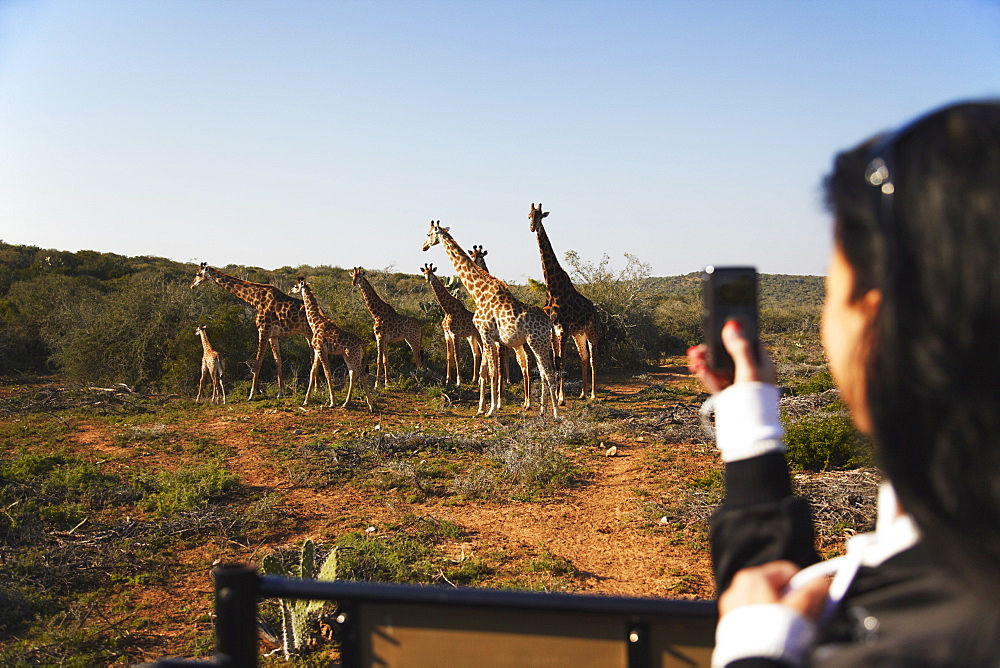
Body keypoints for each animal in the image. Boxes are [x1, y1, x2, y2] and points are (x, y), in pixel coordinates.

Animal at [189, 260, 310, 396]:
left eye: (198, 274)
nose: (192, 285)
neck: (255, 300)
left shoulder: (263, 330)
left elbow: (258, 361)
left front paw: (252, 394)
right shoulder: (273, 335)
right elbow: (277, 360)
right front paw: (280, 392)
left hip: (309, 331)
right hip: (305, 332)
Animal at [290, 276, 376, 412]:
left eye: (295, 286)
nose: (290, 290)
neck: (315, 323)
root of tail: (362, 343)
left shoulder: (321, 350)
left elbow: (327, 373)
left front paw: (332, 402)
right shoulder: (317, 350)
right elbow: (312, 372)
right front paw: (306, 401)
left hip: (353, 356)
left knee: (362, 374)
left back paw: (371, 405)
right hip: (348, 356)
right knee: (353, 374)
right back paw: (346, 403)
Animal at [424, 220, 564, 418]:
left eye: (428, 234)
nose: (423, 246)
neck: (479, 292)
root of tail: (549, 323)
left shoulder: (487, 334)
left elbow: (492, 372)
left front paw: (491, 410)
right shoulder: (486, 337)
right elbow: (484, 371)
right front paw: (481, 408)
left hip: (537, 342)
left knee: (549, 372)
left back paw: (556, 414)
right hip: (537, 343)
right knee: (543, 372)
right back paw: (543, 411)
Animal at [532, 204, 600, 402]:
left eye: (540, 216)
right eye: (529, 215)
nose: (532, 227)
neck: (553, 288)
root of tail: (596, 311)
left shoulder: (563, 329)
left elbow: (562, 361)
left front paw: (561, 397)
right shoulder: (554, 331)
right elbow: (556, 362)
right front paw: (556, 395)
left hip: (592, 332)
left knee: (593, 359)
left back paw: (593, 394)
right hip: (579, 334)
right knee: (583, 357)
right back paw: (583, 393)